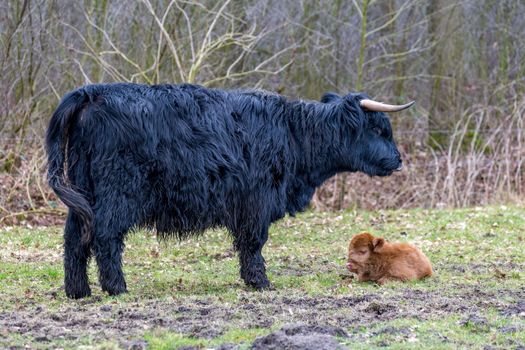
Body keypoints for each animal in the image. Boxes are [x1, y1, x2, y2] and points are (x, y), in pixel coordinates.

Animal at [46, 82, 414, 298]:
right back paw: (116, 288)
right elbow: (252, 243)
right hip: (119, 191)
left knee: (74, 236)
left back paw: (78, 291)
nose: (398, 160)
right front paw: (260, 282)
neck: (295, 135)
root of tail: (92, 93)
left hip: (84, 190)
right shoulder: (256, 200)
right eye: (380, 130)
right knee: (105, 236)